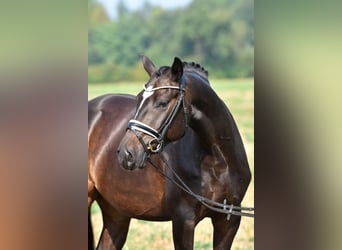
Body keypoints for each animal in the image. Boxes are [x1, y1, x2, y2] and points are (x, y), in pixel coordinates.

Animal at [88, 55, 251, 249]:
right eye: (138, 100)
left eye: (162, 103)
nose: (126, 154)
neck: (218, 162)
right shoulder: (183, 220)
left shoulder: (228, 220)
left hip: (116, 213)